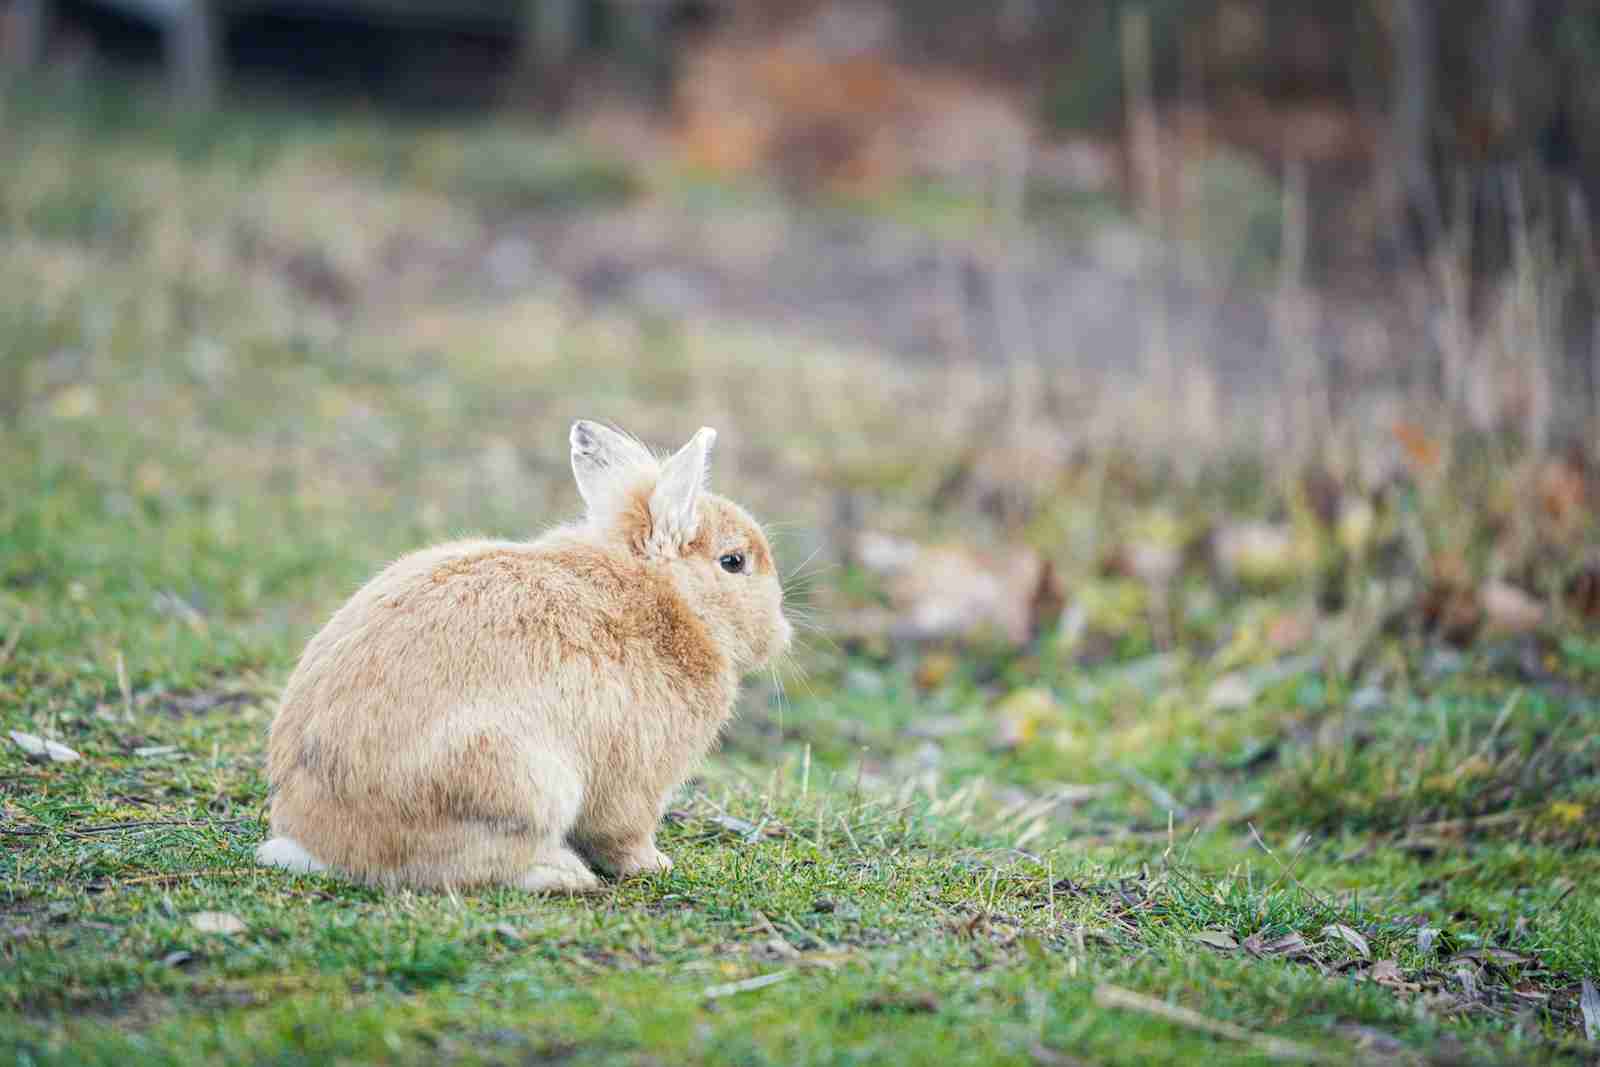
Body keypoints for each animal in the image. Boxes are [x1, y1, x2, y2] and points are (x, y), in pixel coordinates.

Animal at [255, 421, 792, 892]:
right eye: (733, 562)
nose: (780, 633)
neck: (668, 597)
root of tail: (325, 844)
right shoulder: (637, 784)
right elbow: (624, 836)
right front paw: (655, 865)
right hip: (520, 785)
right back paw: (562, 875)